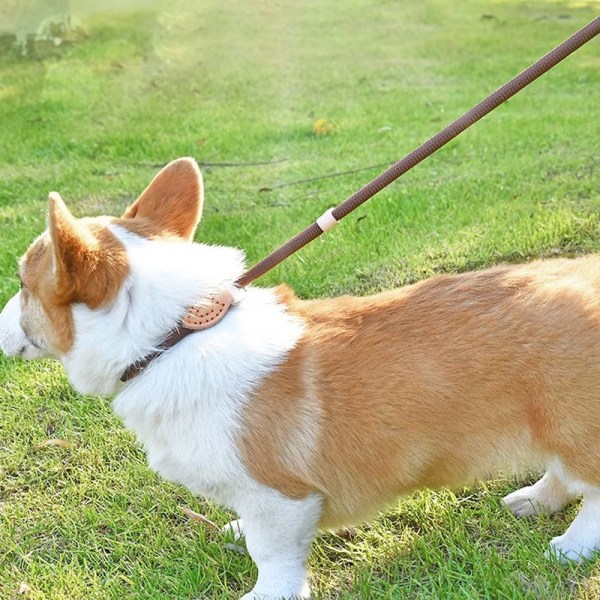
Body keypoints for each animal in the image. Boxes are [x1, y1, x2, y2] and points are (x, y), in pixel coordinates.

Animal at [1, 157, 600, 596]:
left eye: (24, 285)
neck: (172, 336)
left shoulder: (280, 499)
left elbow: (271, 556)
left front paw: (268, 593)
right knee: (565, 473)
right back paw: (535, 500)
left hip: (574, 423)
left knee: (593, 489)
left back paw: (573, 545)